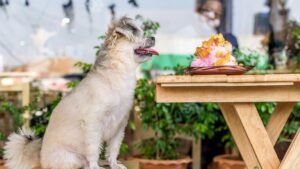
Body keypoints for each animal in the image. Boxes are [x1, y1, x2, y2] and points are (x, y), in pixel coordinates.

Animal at [4, 16, 159, 169]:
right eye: (138, 34)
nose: (153, 37)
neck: (115, 76)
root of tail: (41, 160)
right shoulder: (93, 125)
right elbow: (93, 149)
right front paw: (95, 166)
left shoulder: (119, 126)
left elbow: (113, 149)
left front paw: (114, 164)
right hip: (71, 158)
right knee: (82, 163)